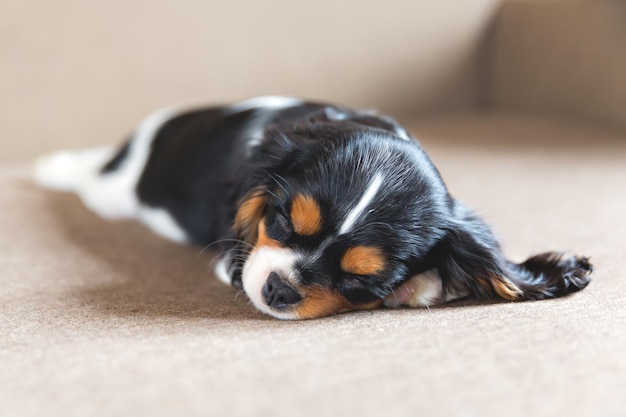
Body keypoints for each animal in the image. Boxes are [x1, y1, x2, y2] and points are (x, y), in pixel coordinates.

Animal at [34, 96, 588, 318]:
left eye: (360, 281)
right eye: (280, 223)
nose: (279, 290)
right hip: (113, 193)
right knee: (88, 177)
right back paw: (57, 166)